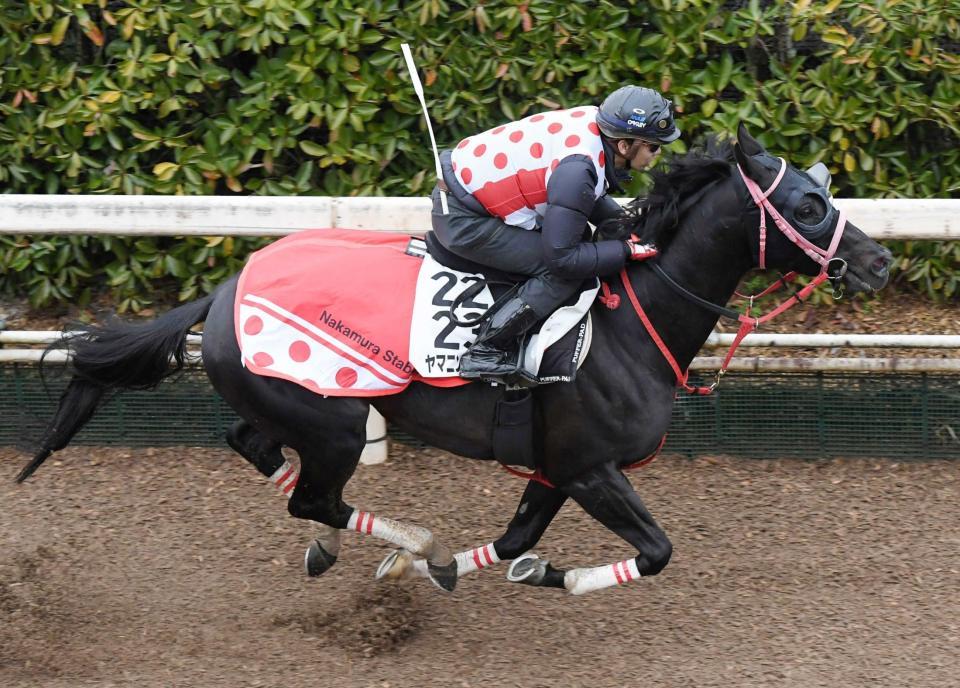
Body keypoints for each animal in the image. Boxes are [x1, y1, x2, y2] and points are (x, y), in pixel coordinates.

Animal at [13, 125, 892, 596]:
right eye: (810, 202)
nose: (879, 261)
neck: (630, 328)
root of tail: (224, 289)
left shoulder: (553, 466)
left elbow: (512, 539)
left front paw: (465, 572)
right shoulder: (590, 468)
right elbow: (655, 552)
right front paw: (491, 569)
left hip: (295, 405)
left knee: (257, 451)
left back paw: (354, 549)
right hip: (334, 422)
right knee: (312, 496)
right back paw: (407, 540)